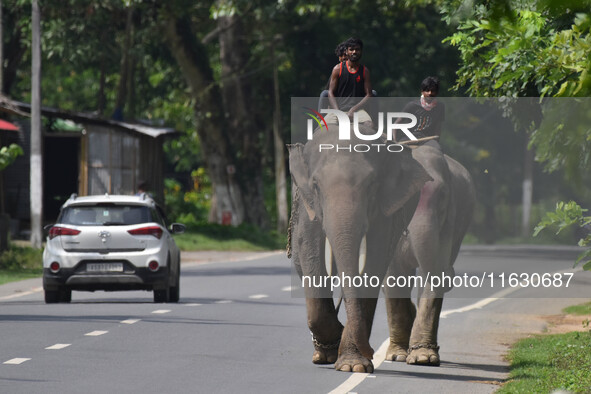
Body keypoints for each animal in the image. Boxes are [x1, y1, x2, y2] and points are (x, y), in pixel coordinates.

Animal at [290, 124, 432, 372]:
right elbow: (310, 254)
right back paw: (323, 354)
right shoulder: (309, 211)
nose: (373, 351)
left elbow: (373, 264)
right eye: (316, 186)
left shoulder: (384, 216)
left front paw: (352, 366)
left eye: (372, 184)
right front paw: (338, 346)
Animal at [384, 142, 476, 366]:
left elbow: (430, 274)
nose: (451, 274)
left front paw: (423, 358)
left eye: (443, 196)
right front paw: (397, 356)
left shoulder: (449, 221)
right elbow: (394, 276)